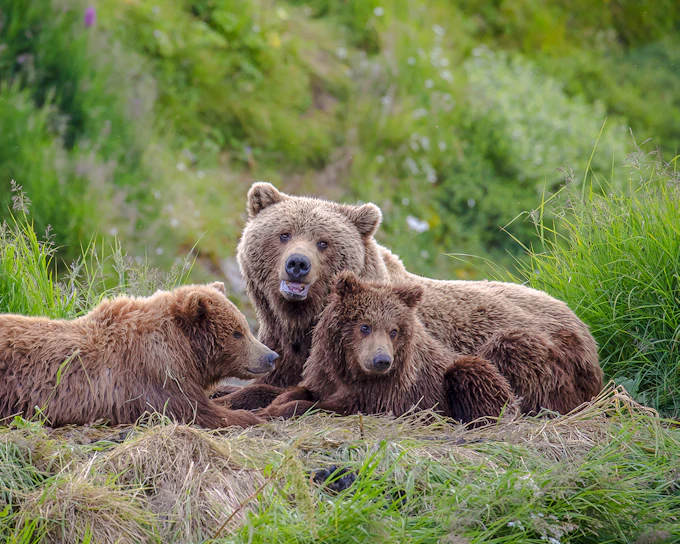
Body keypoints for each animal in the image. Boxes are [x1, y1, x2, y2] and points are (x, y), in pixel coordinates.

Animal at [0, 282, 278, 428]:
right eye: (237, 332)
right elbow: (196, 411)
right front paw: (253, 415)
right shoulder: (153, 378)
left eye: (244, 327)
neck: (182, 350)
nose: (271, 356)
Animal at [263, 272, 516, 424]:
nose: (382, 360)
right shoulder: (326, 372)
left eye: (394, 330)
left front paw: (279, 410)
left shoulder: (387, 393)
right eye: (365, 326)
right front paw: (275, 403)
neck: (351, 368)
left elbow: (334, 406)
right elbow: (305, 390)